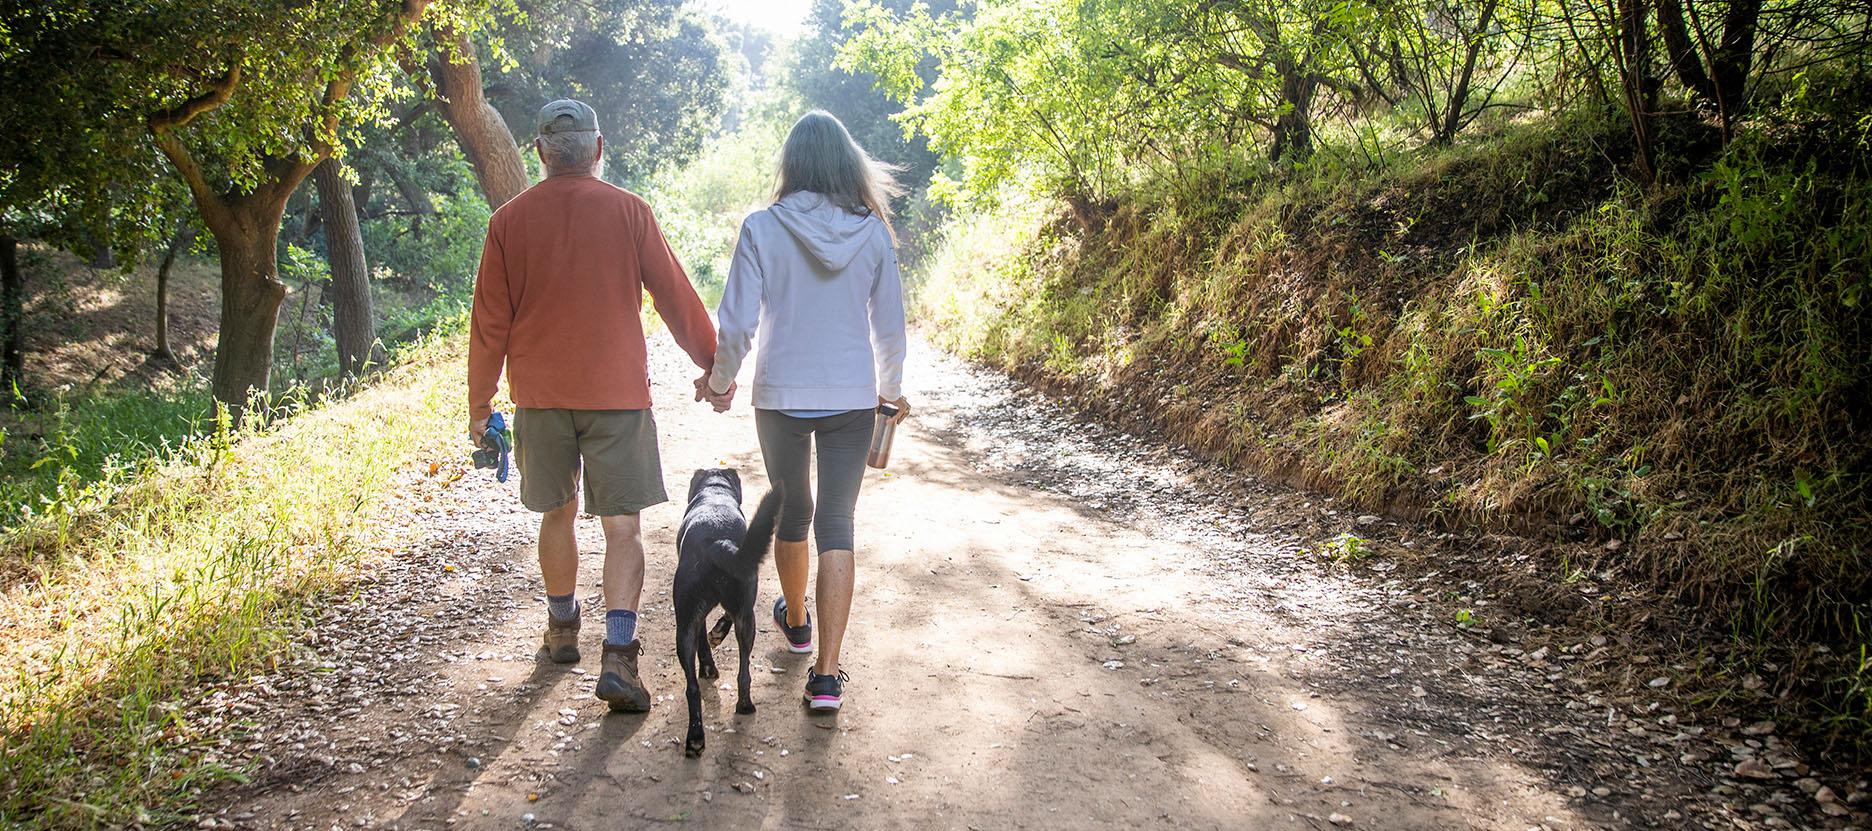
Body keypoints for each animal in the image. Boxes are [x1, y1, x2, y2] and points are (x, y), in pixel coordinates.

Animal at [673, 469, 782, 756]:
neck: (715, 490)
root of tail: (716, 542)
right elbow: (722, 622)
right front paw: (717, 637)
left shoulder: (698, 618)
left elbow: (705, 640)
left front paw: (709, 663)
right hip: (745, 616)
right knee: (740, 675)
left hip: (688, 624)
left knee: (695, 687)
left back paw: (699, 735)